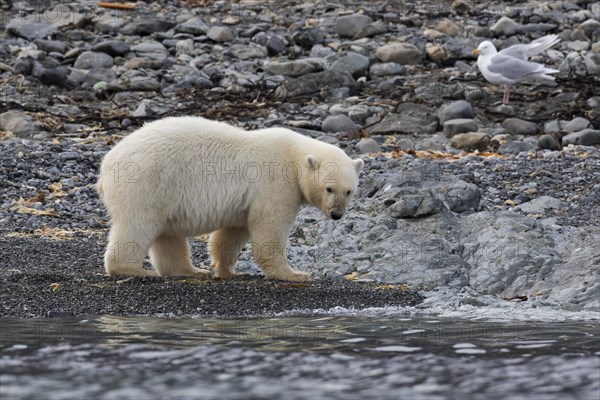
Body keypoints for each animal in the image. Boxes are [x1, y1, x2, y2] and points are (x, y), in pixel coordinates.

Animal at [96, 117, 364, 282]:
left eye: (349, 191)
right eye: (329, 189)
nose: (337, 214)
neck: (294, 157)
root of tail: (106, 164)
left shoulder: (245, 202)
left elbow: (233, 232)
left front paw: (229, 271)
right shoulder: (275, 184)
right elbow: (269, 227)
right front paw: (294, 274)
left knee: (167, 234)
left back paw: (193, 271)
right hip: (146, 182)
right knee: (138, 224)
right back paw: (132, 269)